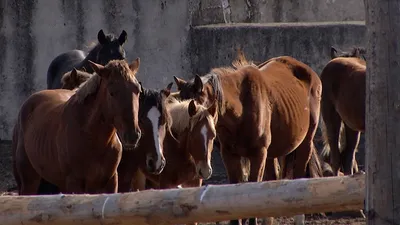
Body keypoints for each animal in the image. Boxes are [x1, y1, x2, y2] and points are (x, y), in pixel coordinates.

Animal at [12, 59, 142, 194]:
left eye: (138, 90)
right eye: (112, 93)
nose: (132, 135)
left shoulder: (111, 181)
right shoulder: (74, 182)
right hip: (29, 180)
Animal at [173, 54, 324, 225]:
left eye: (193, 107)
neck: (241, 108)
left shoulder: (258, 154)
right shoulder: (230, 155)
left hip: (305, 143)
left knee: (299, 177)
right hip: (271, 153)